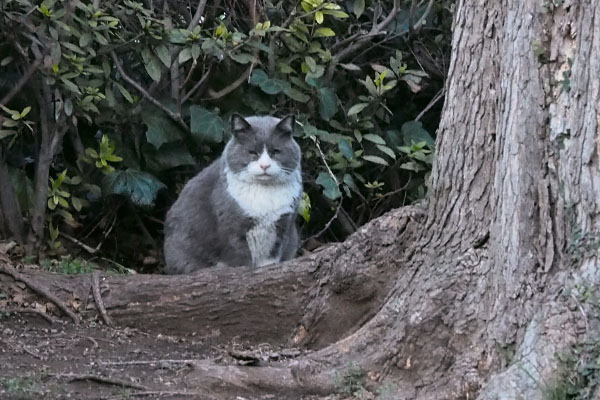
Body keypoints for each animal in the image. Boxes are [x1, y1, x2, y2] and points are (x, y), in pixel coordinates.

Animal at [163, 114, 300, 274]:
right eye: (252, 152)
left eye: (275, 152)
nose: (264, 166)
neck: (264, 192)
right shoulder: (232, 228)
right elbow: (240, 259)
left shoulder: (283, 227)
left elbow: (271, 258)